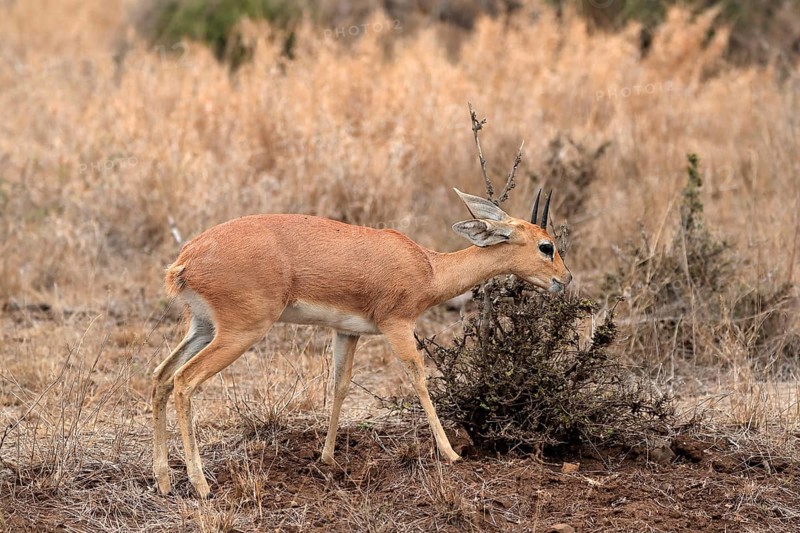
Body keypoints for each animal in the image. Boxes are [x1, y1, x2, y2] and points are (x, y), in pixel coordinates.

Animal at [152, 188, 572, 498]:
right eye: (546, 246)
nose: (564, 280)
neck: (429, 268)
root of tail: (187, 259)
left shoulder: (347, 332)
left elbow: (339, 385)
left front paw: (327, 457)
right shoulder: (397, 325)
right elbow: (419, 379)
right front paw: (452, 454)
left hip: (203, 328)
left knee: (160, 377)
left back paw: (164, 481)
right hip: (241, 332)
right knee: (184, 381)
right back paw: (201, 485)